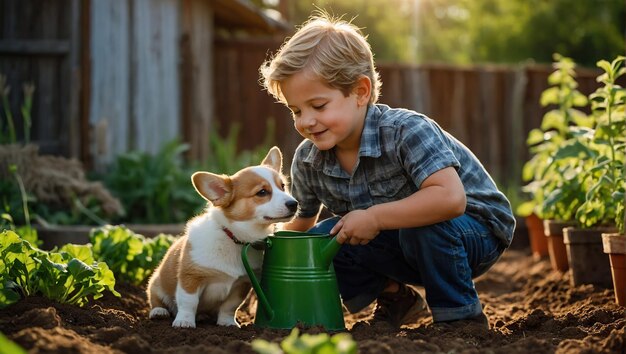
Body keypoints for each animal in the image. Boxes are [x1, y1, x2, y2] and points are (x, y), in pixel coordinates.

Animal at [149, 146, 300, 326]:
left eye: (283, 186)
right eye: (262, 192)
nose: (294, 204)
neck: (234, 239)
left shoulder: (241, 284)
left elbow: (230, 306)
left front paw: (227, 323)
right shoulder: (190, 277)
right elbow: (188, 302)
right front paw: (184, 322)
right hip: (155, 283)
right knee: (156, 300)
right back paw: (159, 312)